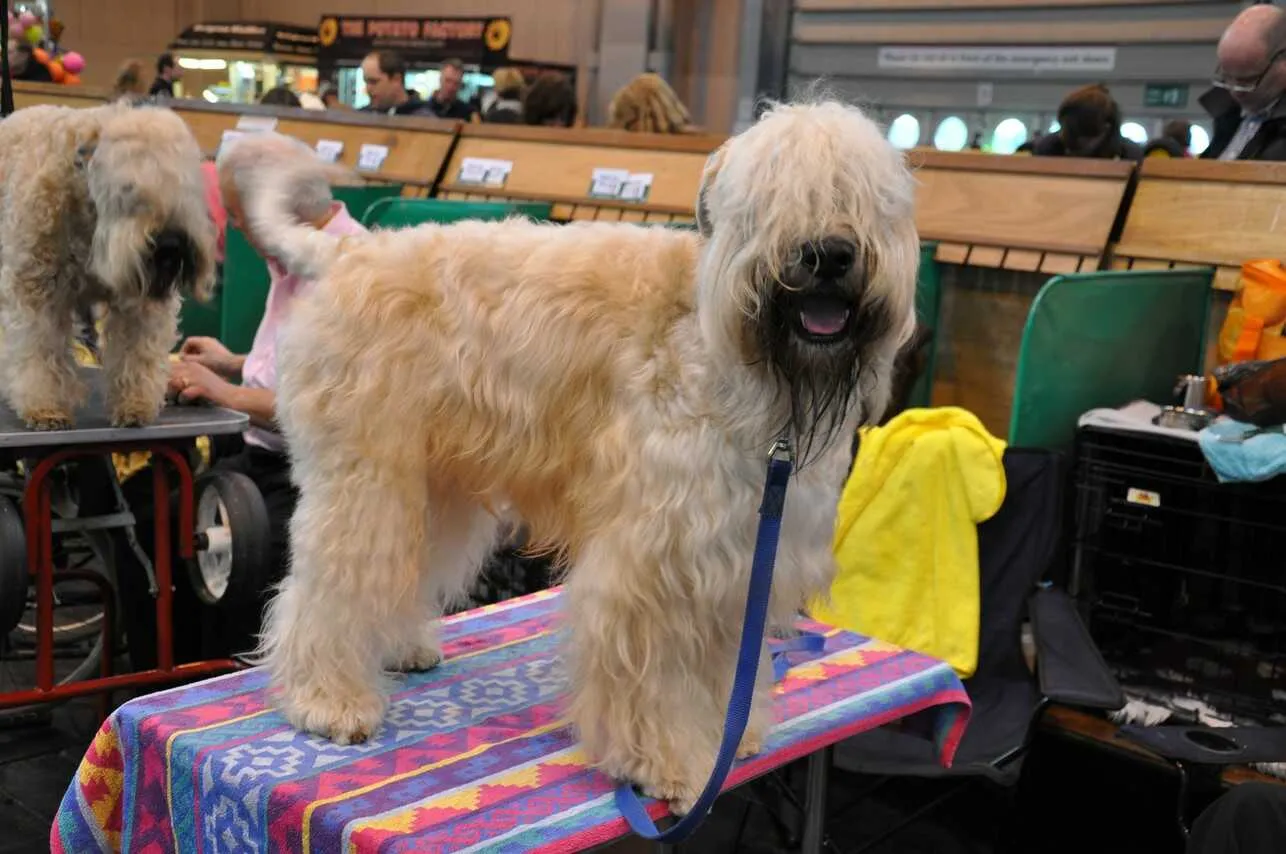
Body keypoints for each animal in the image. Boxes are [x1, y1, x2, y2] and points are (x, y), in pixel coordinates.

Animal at [0, 102, 214, 429]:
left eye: (184, 186)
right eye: (127, 187)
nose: (171, 243)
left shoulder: (139, 298)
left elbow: (136, 352)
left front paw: (135, 405)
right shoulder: (37, 288)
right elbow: (41, 349)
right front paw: (46, 408)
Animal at [245, 98, 920, 807]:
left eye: (870, 196)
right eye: (769, 195)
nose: (828, 254)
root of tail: (347, 251)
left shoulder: (740, 554)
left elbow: (721, 664)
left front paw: (727, 737)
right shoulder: (657, 556)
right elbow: (657, 675)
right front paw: (667, 763)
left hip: (435, 484)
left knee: (406, 567)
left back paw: (401, 647)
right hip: (365, 478)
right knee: (331, 583)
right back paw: (327, 700)